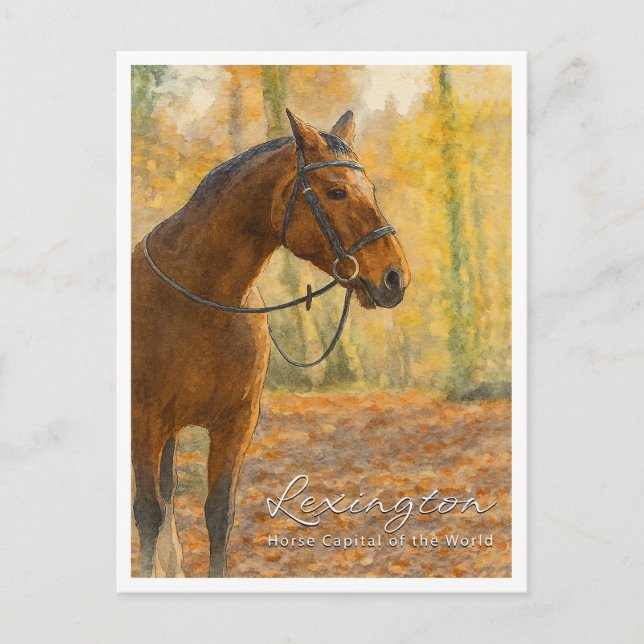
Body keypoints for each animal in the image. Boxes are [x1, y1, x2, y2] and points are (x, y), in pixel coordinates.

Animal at [131, 108, 411, 577]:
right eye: (336, 192)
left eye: (371, 190)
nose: (395, 278)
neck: (199, 297)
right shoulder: (145, 422)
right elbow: (148, 513)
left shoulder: (236, 424)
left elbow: (218, 513)